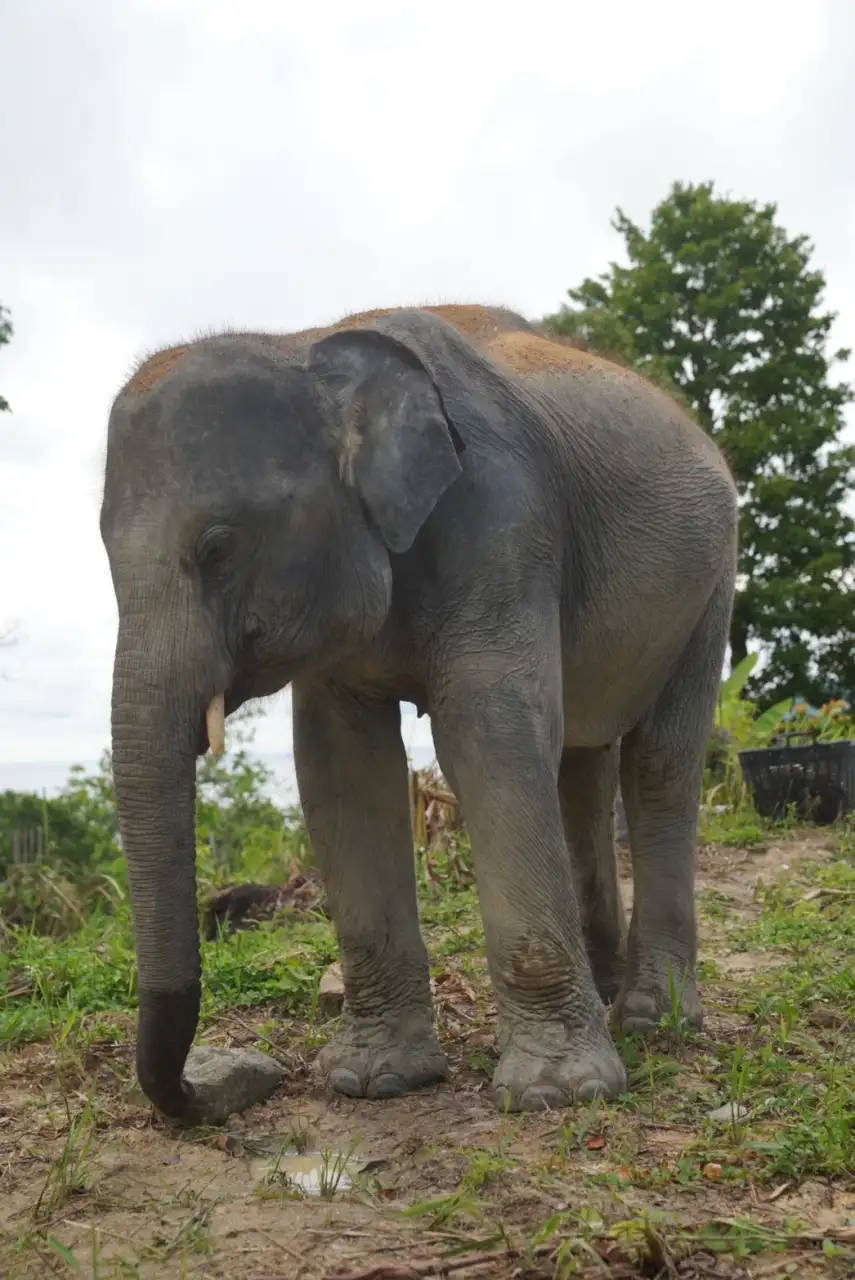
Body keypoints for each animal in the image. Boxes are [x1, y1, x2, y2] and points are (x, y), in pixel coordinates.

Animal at [100, 303, 738, 1122]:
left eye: (218, 546)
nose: (212, 1089)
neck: (303, 345)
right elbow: (342, 768)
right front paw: (369, 1081)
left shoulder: (503, 520)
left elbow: (487, 736)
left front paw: (556, 1094)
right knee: (581, 768)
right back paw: (604, 995)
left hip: (712, 580)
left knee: (658, 763)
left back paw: (655, 1021)